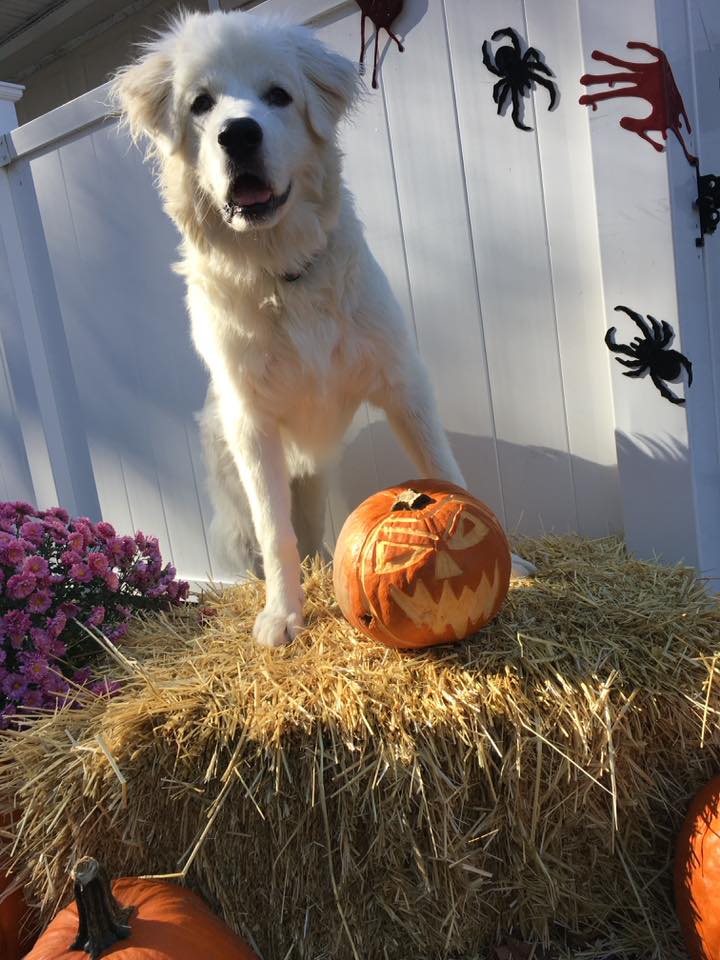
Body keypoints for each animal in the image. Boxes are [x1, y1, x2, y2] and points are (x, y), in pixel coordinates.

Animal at [114, 7, 536, 648]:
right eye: (200, 103)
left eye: (278, 96)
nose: (238, 134)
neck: (281, 273)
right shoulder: (253, 427)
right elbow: (274, 534)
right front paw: (283, 615)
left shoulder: (402, 383)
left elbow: (446, 471)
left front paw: (518, 563)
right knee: (268, 539)